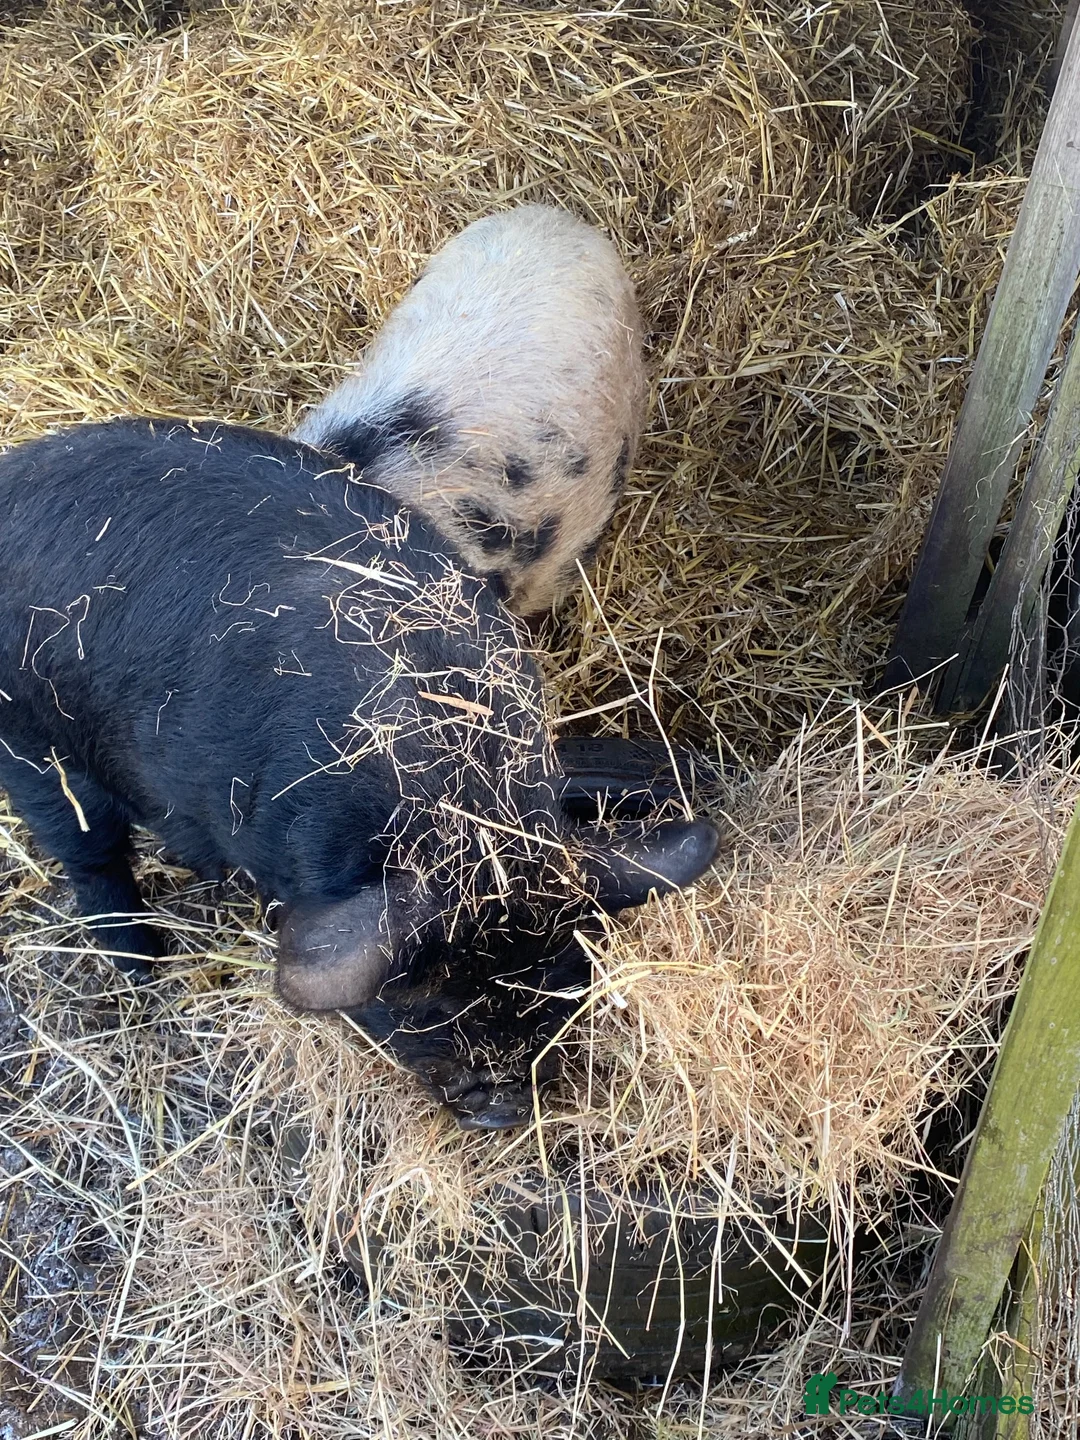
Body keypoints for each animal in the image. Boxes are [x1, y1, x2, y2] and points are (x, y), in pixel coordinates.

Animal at [0, 417, 717, 1128]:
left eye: (566, 983)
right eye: (422, 1011)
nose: (506, 1107)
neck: (460, 804)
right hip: (32, 746)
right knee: (85, 849)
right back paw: (142, 965)